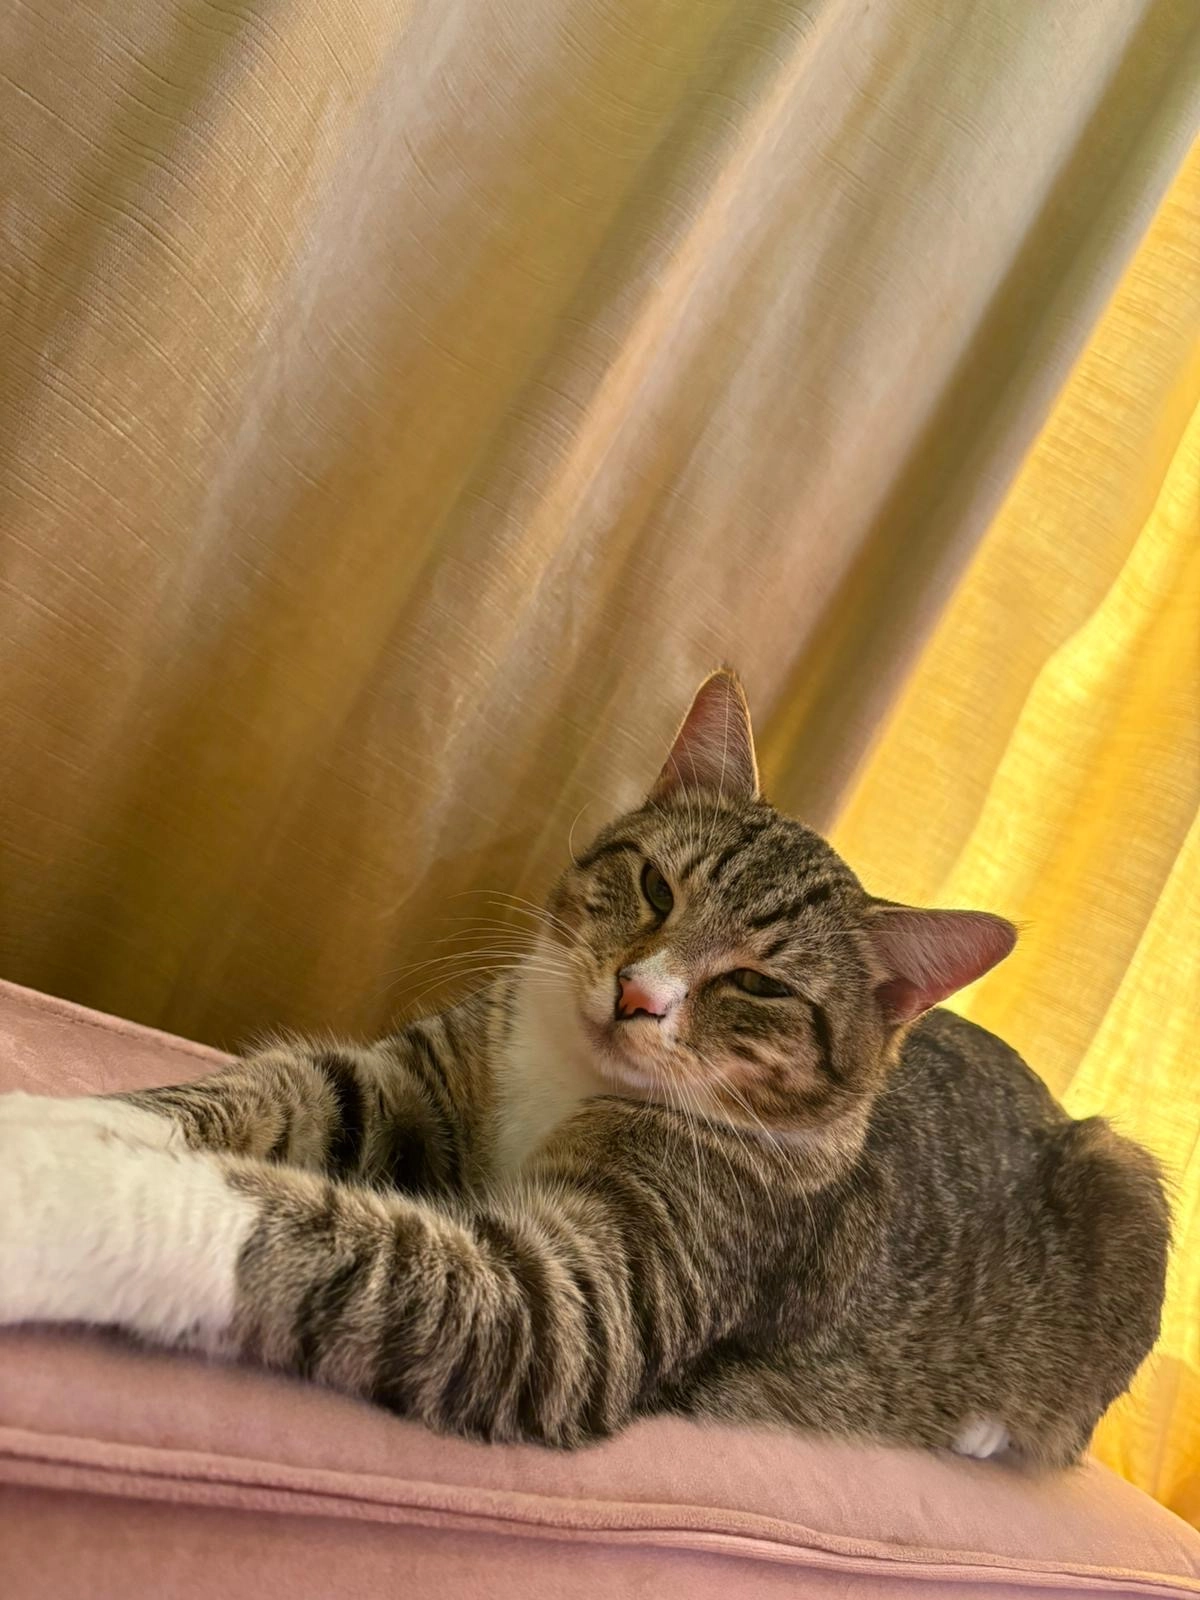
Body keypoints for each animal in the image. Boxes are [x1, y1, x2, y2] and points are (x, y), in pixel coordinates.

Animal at [0, 671, 1169, 1467]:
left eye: (760, 984)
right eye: (655, 885)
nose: (639, 994)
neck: (569, 1079)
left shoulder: (582, 1301)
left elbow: (328, 1240)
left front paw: (45, 1191)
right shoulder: (428, 1076)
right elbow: (272, 1093)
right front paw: (65, 1117)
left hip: (1125, 1187)